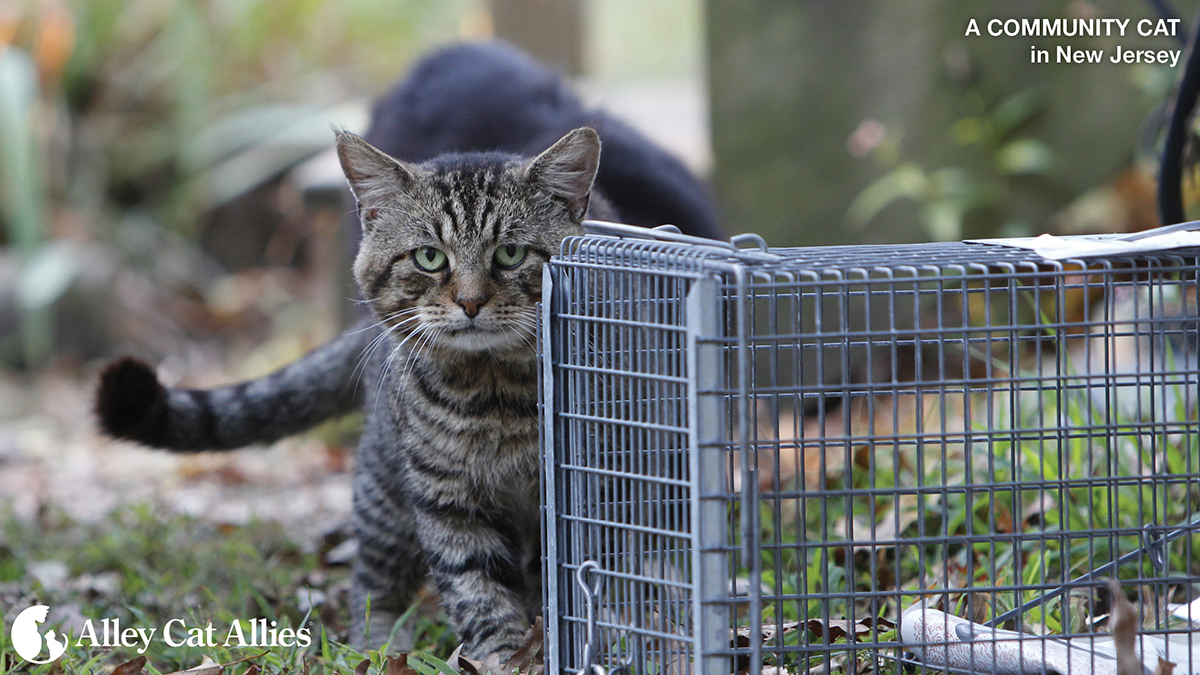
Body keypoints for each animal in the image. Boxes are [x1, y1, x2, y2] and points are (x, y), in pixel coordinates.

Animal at [98, 126, 609, 658]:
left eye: (510, 254)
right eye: (430, 257)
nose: (471, 302)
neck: (494, 395)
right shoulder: (448, 502)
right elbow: (479, 591)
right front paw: (505, 656)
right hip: (384, 489)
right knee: (372, 583)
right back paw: (381, 648)